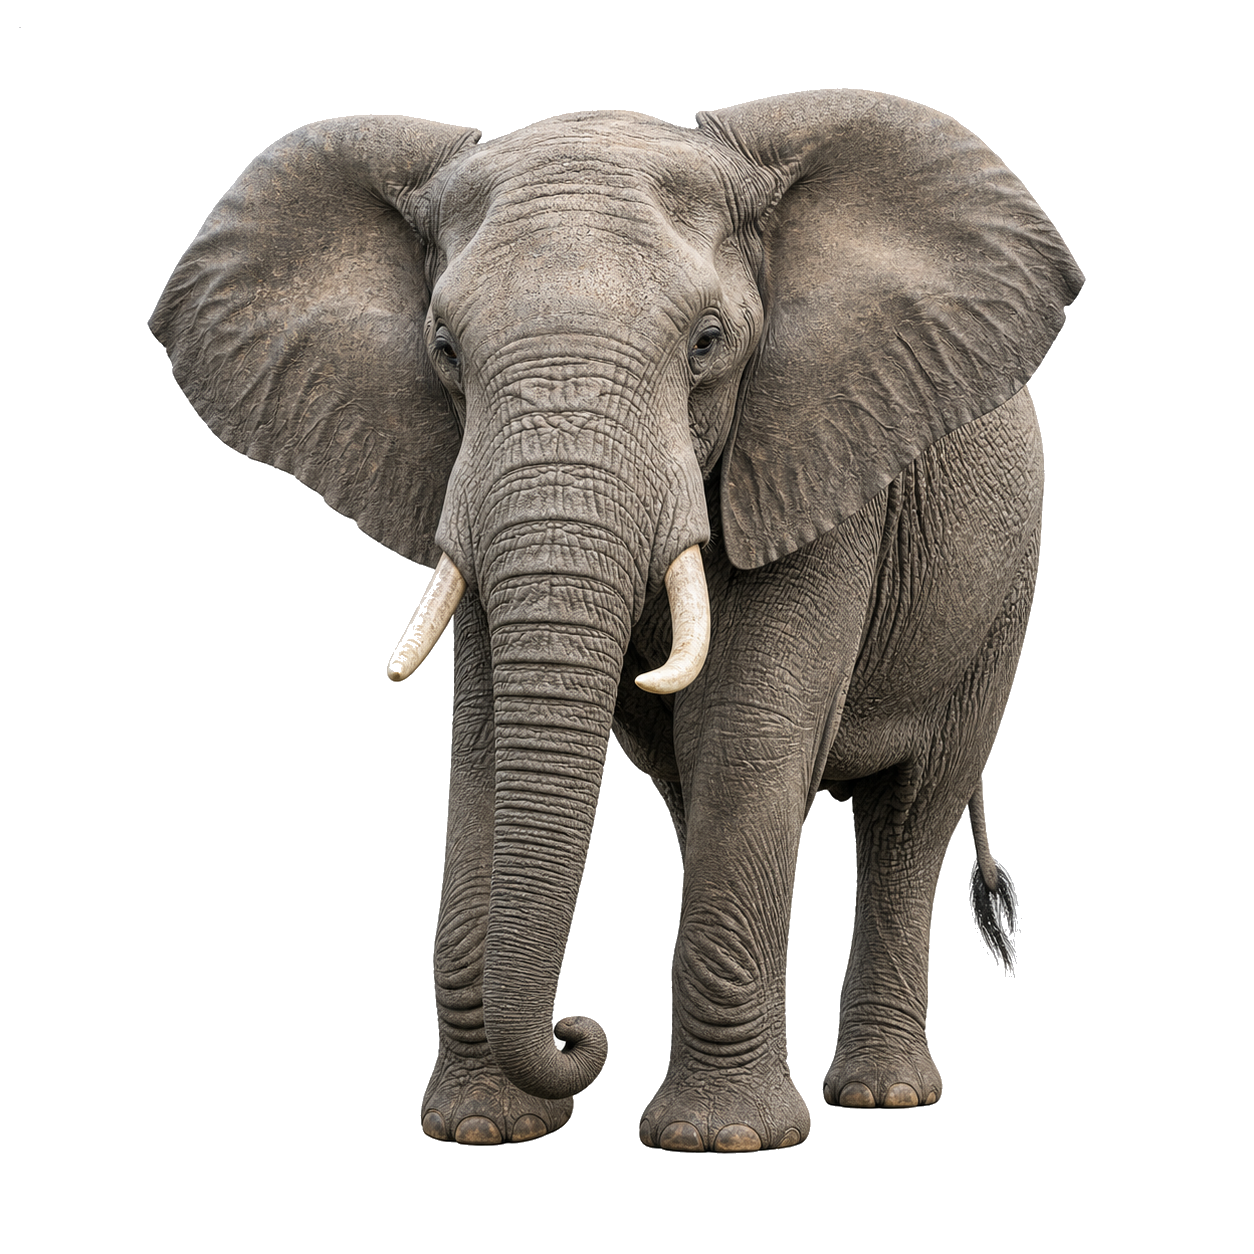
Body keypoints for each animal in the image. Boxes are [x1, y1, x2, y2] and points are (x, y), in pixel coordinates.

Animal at [150, 90, 1082, 1150]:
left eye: (709, 343)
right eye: (444, 352)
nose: (575, 1027)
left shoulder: (817, 449)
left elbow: (748, 733)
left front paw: (720, 1142)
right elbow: (487, 743)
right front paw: (484, 1129)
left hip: (1003, 594)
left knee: (911, 816)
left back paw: (883, 1097)